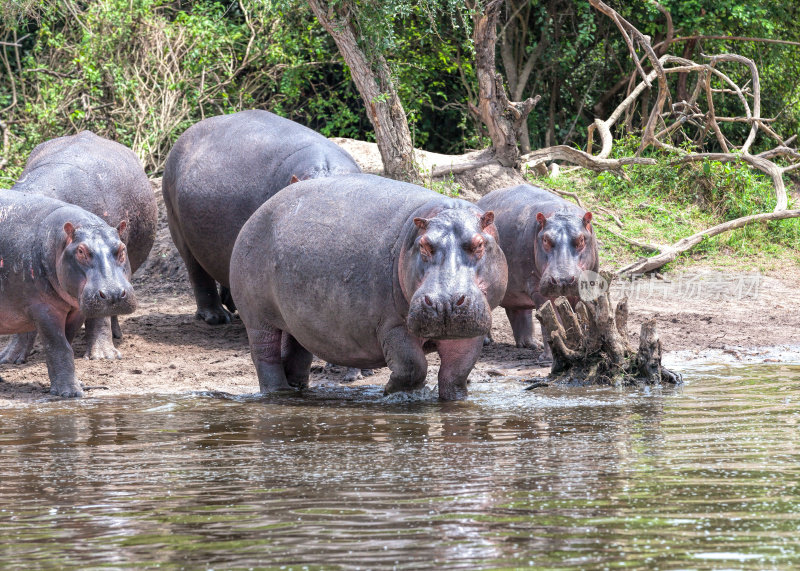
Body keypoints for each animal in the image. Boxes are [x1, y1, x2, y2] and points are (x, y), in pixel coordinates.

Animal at [0, 190, 137, 396]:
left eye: (122, 248)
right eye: (80, 251)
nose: (112, 293)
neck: (58, 242)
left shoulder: (76, 309)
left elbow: (68, 340)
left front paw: (79, 384)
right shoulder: (45, 309)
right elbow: (58, 346)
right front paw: (71, 393)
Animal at [228, 174, 510, 402]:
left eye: (479, 244)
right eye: (424, 246)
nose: (444, 302)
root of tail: (261, 208)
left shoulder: (470, 333)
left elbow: (456, 374)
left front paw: (456, 400)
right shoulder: (393, 324)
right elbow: (412, 365)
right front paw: (394, 393)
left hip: (296, 321)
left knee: (296, 352)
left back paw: (298, 390)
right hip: (257, 318)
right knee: (265, 355)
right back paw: (277, 393)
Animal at [476, 183, 592, 358]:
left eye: (581, 239)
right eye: (545, 239)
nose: (563, 279)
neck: (562, 213)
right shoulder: (537, 288)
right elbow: (552, 322)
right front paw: (550, 356)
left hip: (515, 291)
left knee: (519, 312)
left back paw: (532, 345)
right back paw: (486, 342)